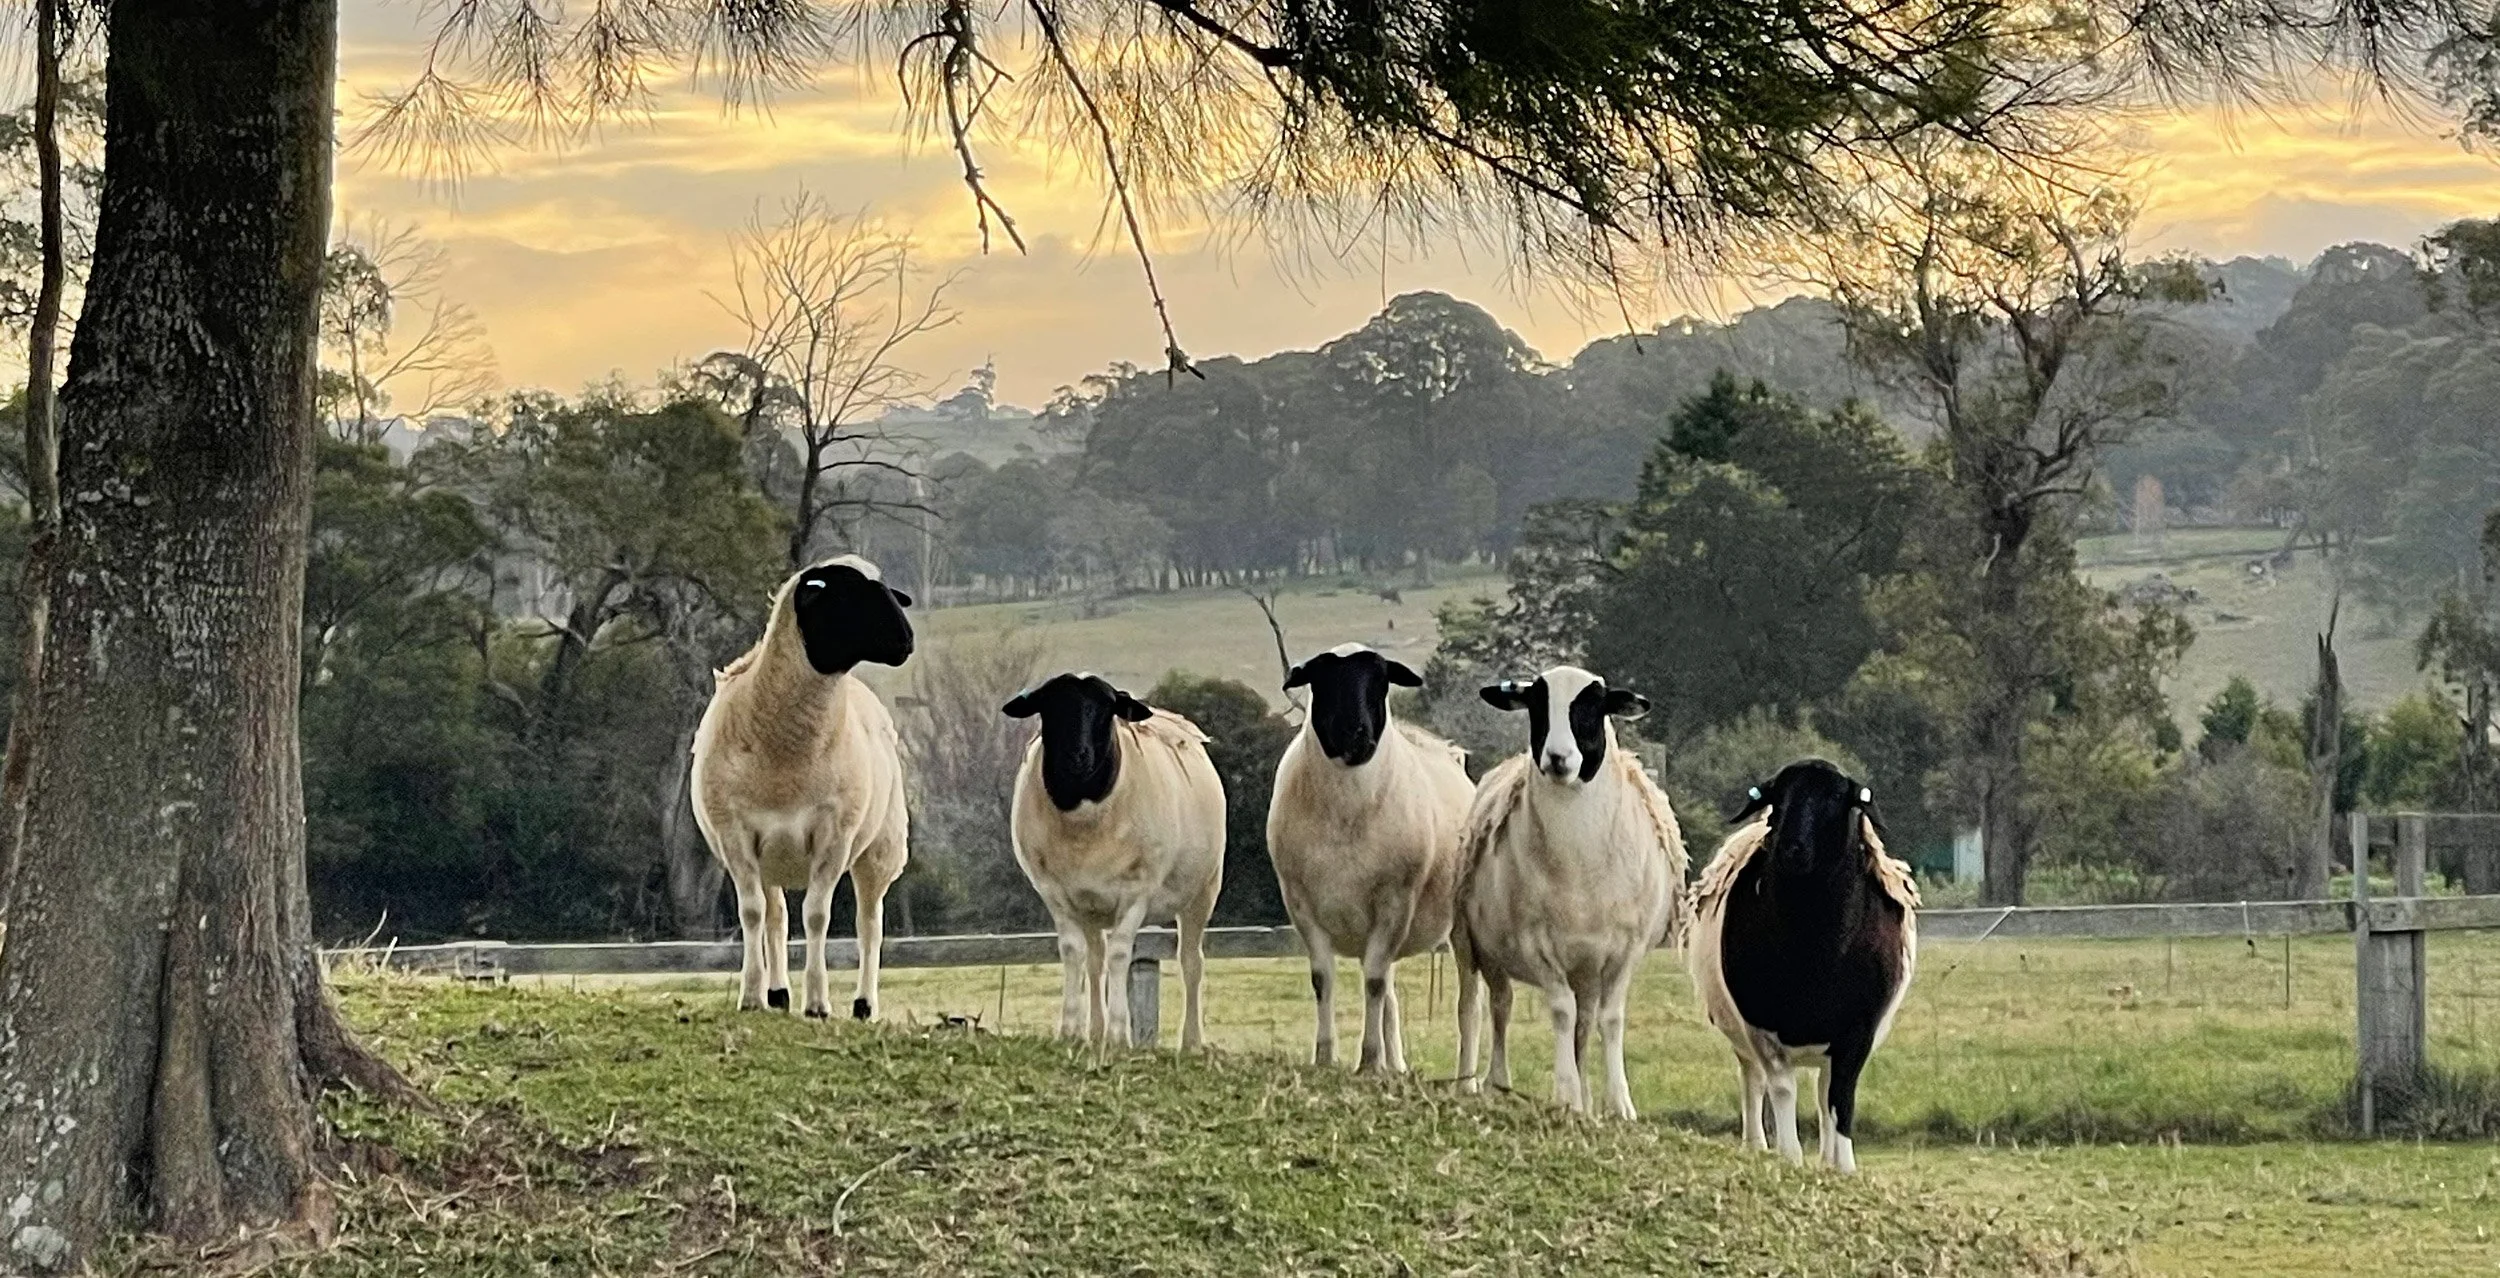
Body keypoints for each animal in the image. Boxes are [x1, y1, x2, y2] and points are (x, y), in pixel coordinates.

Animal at [690, 554, 914, 1020]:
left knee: (870, 924)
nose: (907, 640)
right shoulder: (736, 834)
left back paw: (863, 1004)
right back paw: (777, 994)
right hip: (770, 859)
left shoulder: (834, 836)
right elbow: (753, 914)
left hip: (880, 849)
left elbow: (816, 916)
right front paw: (752, 996)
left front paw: (817, 1002)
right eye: (848, 593)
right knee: (775, 917)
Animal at [1004, 673, 1226, 1049]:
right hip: (1091, 905)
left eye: (1107, 708)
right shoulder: (1055, 893)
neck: (1082, 810)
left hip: (1203, 889)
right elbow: (1073, 953)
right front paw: (1070, 1031)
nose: (1077, 755)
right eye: (1050, 705)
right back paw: (1095, 1032)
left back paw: (1192, 1042)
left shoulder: (1137, 893)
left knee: (1191, 962)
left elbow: (1120, 955)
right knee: (1095, 961)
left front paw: (1120, 1034)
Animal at [1266, 643, 1475, 1073]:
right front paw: (1326, 1058)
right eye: (1323, 679)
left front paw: (1368, 1062)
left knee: (1466, 1004)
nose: (1356, 733)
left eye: (1381, 681)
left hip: (1459, 926)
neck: (1344, 815)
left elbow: (1374, 984)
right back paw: (1396, 1066)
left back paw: (1467, 1079)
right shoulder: (1300, 901)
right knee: (1391, 994)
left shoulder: (1395, 901)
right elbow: (1323, 979)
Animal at [1451, 665, 1687, 1119]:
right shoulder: (1536, 943)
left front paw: (1618, 1104)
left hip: (1585, 968)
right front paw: (1565, 1095)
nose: (1558, 758)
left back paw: (1586, 1098)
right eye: (1536, 706)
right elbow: (1560, 1012)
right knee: (1484, 1007)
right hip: (1472, 943)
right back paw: (1481, 1083)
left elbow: (1609, 1020)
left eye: (1592, 706)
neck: (1578, 862)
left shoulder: (1624, 949)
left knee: (1579, 1020)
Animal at [1688, 758, 1919, 1173]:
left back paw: (1826, 1157)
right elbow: (1781, 1089)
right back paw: (1756, 1145)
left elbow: (1841, 1097)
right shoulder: (1760, 1025)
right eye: (1777, 797)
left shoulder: (1858, 1031)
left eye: (1835, 798)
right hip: (1742, 1034)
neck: (1814, 946)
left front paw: (1843, 1167)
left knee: (1824, 1091)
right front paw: (1790, 1157)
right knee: (1753, 1082)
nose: (1790, 849)